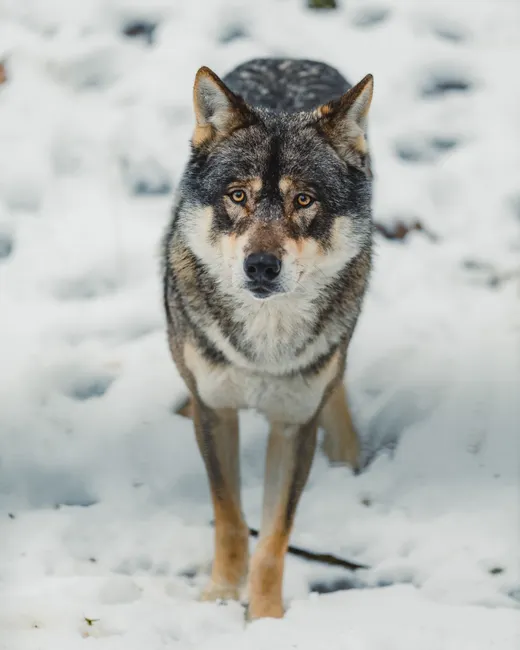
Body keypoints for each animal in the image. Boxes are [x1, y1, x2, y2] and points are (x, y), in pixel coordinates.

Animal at [162, 57, 374, 619]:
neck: (264, 344)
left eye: (304, 200)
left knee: (337, 377)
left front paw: (266, 618)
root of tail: (289, 58)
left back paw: (346, 450)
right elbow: (231, 518)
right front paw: (218, 597)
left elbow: (275, 537)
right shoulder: (217, 412)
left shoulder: (294, 424)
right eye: (239, 196)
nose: (261, 265)